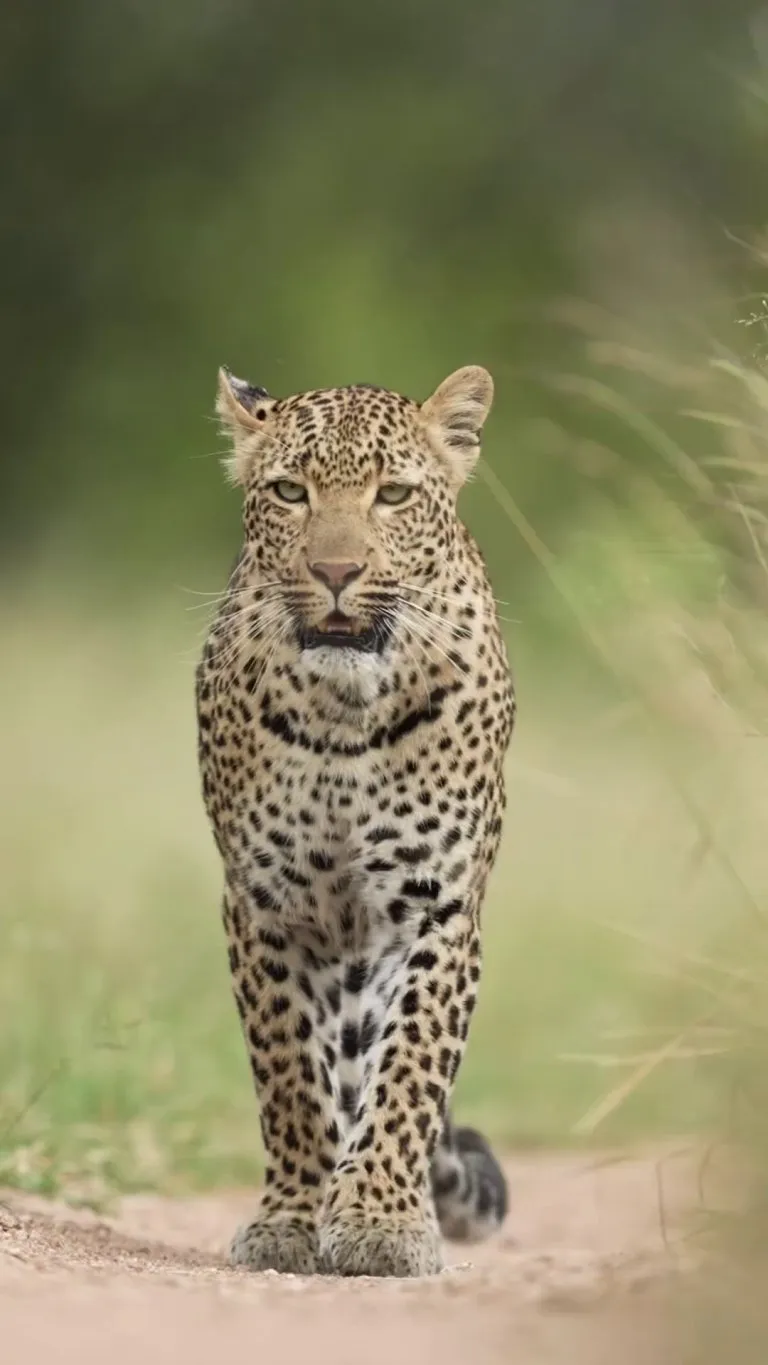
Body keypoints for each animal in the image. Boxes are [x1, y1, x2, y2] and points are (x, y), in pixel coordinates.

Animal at [195, 363, 516, 1278]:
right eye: (290, 491)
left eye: (394, 494)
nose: (336, 571)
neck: (345, 712)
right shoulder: (263, 904)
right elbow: (289, 1078)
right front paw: (293, 1220)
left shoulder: (436, 904)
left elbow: (410, 1067)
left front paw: (380, 1220)